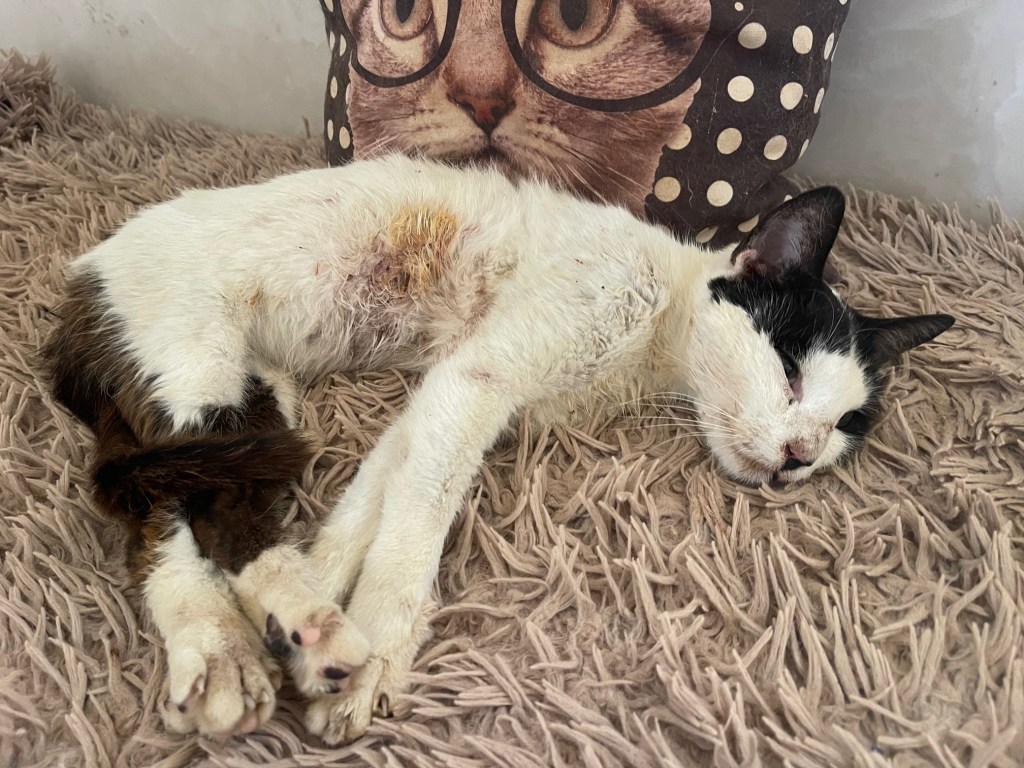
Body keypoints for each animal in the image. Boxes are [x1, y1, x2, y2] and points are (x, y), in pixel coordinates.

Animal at [43, 154, 953, 740]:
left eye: (846, 427)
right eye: (791, 371)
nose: (800, 453)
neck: (653, 336)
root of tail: (79, 282)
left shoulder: (440, 400)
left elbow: (376, 500)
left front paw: (324, 593)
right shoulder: (476, 379)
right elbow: (414, 535)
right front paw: (369, 648)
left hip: (258, 408)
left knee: (172, 518)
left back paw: (264, 632)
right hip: (199, 376)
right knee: (192, 512)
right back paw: (268, 638)